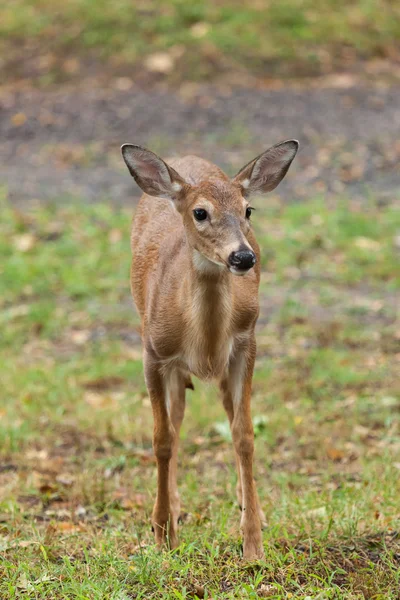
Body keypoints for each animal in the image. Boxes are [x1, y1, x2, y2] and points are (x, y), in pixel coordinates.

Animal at [120, 138, 298, 560]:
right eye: (200, 212)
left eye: (248, 209)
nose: (243, 257)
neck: (203, 336)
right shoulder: (153, 353)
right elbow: (161, 438)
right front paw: (163, 535)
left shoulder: (245, 343)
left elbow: (244, 434)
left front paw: (253, 544)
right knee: (176, 420)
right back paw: (174, 507)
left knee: (223, 412)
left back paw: (250, 506)